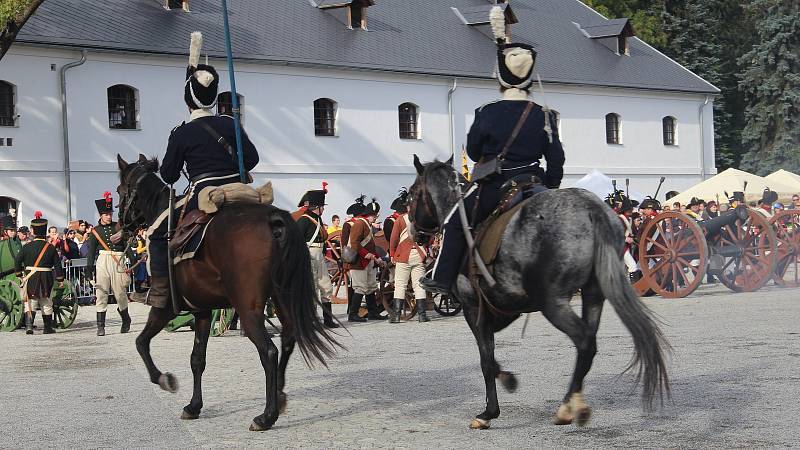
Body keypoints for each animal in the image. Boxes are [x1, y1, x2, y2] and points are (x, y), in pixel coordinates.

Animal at [114, 156, 336, 432]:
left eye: (120, 190)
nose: (119, 227)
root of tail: (273, 219)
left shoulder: (164, 307)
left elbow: (141, 343)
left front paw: (164, 379)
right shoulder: (201, 311)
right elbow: (197, 359)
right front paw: (193, 406)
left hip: (249, 308)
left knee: (268, 352)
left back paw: (266, 416)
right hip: (282, 298)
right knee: (287, 339)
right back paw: (279, 394)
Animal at [406, 157, 668, 428]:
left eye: (413, 194)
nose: (414, 231)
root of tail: (590, 209)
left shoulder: (473, 308)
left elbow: (486, 360)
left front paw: (490, 410)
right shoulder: (500, 309)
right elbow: (490, 356)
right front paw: (504, 384)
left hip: (552, 303)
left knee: (585, 342)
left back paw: (566, 409)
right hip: (593, 294)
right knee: (588, 345)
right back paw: (572, 403)